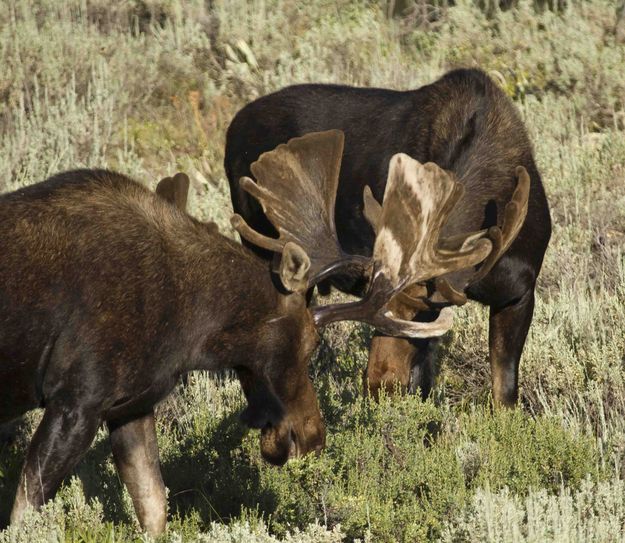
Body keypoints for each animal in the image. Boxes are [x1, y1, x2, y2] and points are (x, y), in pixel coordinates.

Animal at [0, 130, 512, 532]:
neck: (192, 322)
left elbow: (155, 507)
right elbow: (25, 516)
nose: (312, 436)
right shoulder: (76, 400)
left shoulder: (130, 407)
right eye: (308, 343)